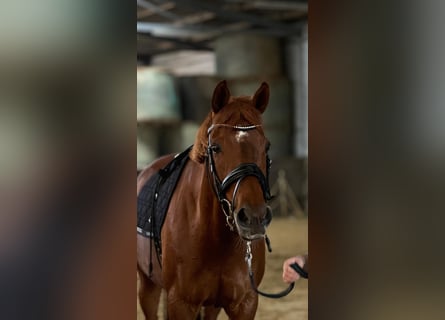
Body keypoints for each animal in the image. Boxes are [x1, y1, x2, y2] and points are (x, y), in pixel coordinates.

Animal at [137, 81, 272, 318]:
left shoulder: (245, 303)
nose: (254, 217)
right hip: (148, 285)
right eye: (216, 147)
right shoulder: (180, 303)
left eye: (266, 146)